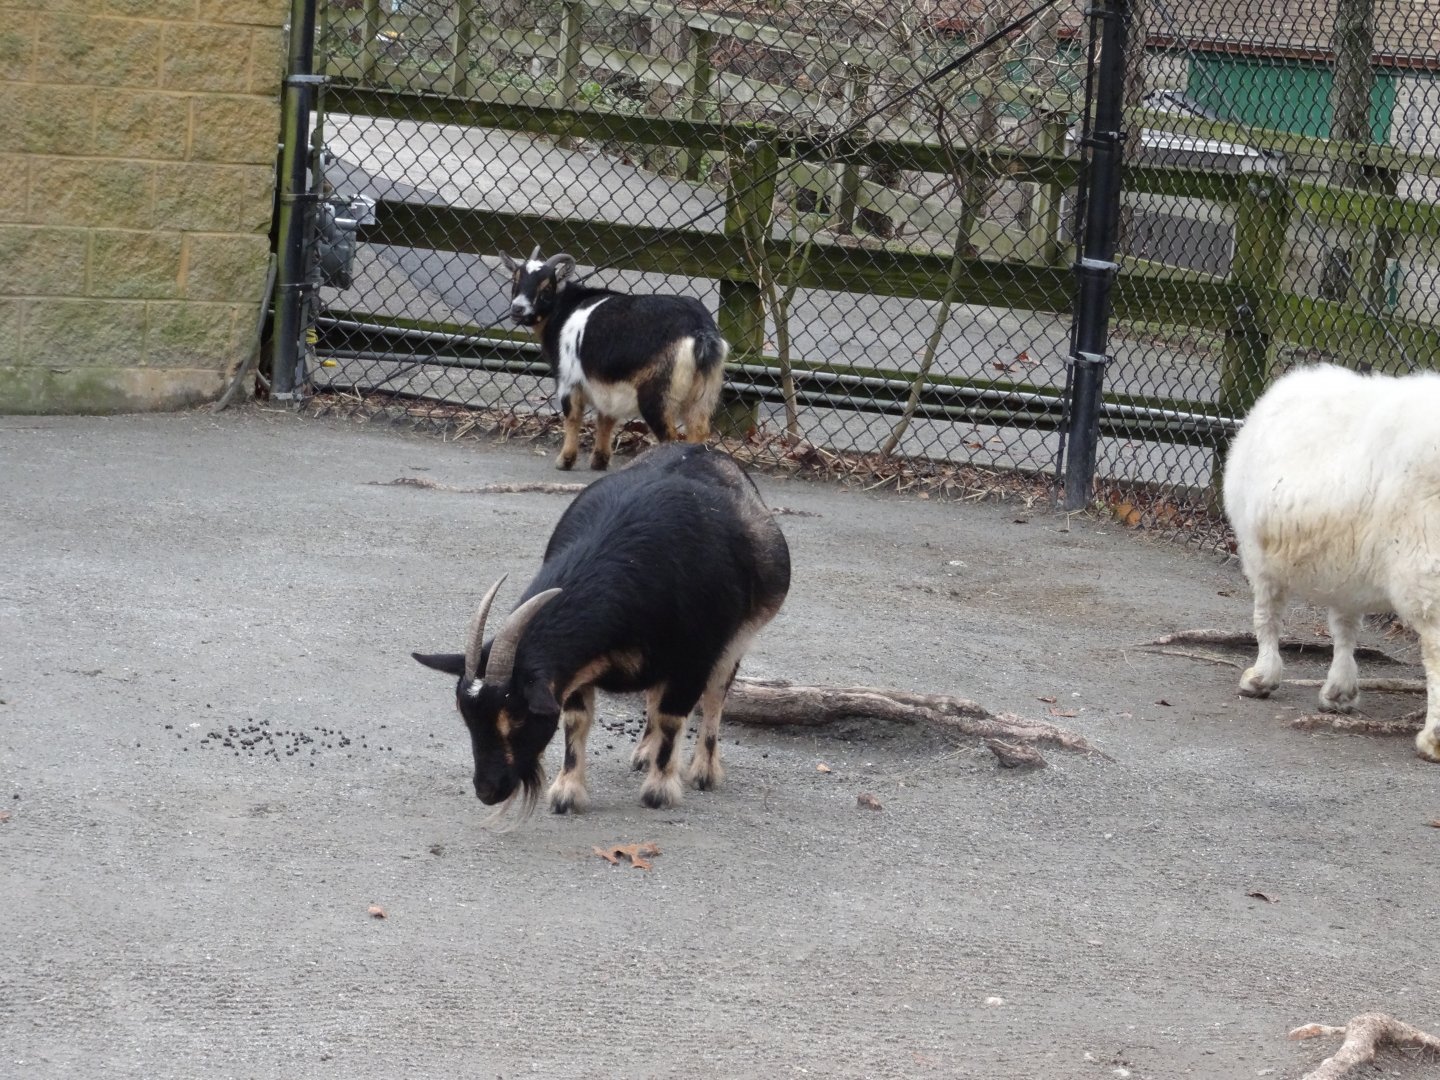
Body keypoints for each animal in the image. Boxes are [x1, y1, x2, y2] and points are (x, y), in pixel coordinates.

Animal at [412, 442, 791, 815]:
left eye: (517, 715)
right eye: (465, 715)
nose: (488, 791)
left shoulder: (694, 658)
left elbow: (673, 717)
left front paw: (659, 791)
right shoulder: (576, 668)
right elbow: (577, 720)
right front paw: (567, 792)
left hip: (736, 639)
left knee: (714, 696)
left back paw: (704, 770)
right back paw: (644, 753)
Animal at [499, 248, 728, 471]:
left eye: (546, 287)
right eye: (515, 279)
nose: (517, 309)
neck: (566, 307)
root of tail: (699, 331)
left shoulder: (568, 379)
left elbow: (573, 416)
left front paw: (565, 460)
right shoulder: (606, 383)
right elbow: (605, 418)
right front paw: (599, 460)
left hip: (658, 394)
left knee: (669, 436)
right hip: (703, 393)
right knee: (698, 430)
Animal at [1222, 362, 1440, 761]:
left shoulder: (1258, 557)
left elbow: (1266, 618)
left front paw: (1262, 678)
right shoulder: (1347, 567)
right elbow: (1344, 627)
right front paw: (1339, 691)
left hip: (1423, 571)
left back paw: (1432, 740)